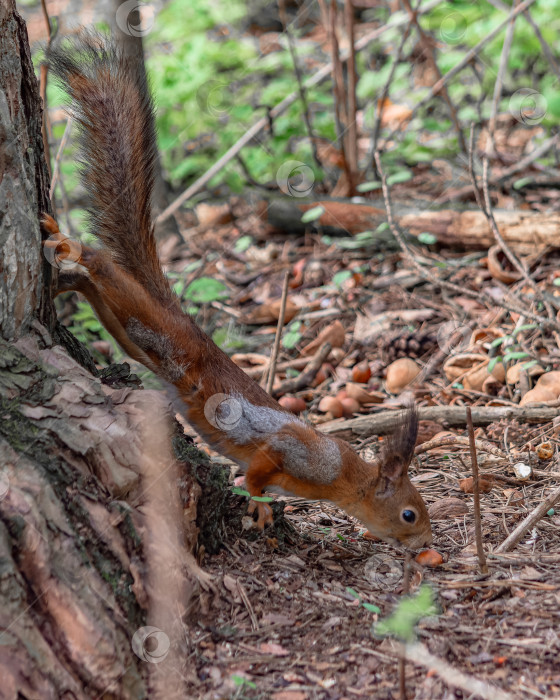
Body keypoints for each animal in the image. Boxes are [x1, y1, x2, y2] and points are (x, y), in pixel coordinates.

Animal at [44, 32, 434, 548]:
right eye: (409, 514)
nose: (427, 544)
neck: (344, 473)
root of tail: (187, 325)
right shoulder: (293, 453)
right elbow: (258, 469)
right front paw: (261, 505)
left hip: (131, 333)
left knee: (98, 293)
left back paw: (64, 279)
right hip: (151, 327)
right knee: (103, 267)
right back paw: (71, 248)